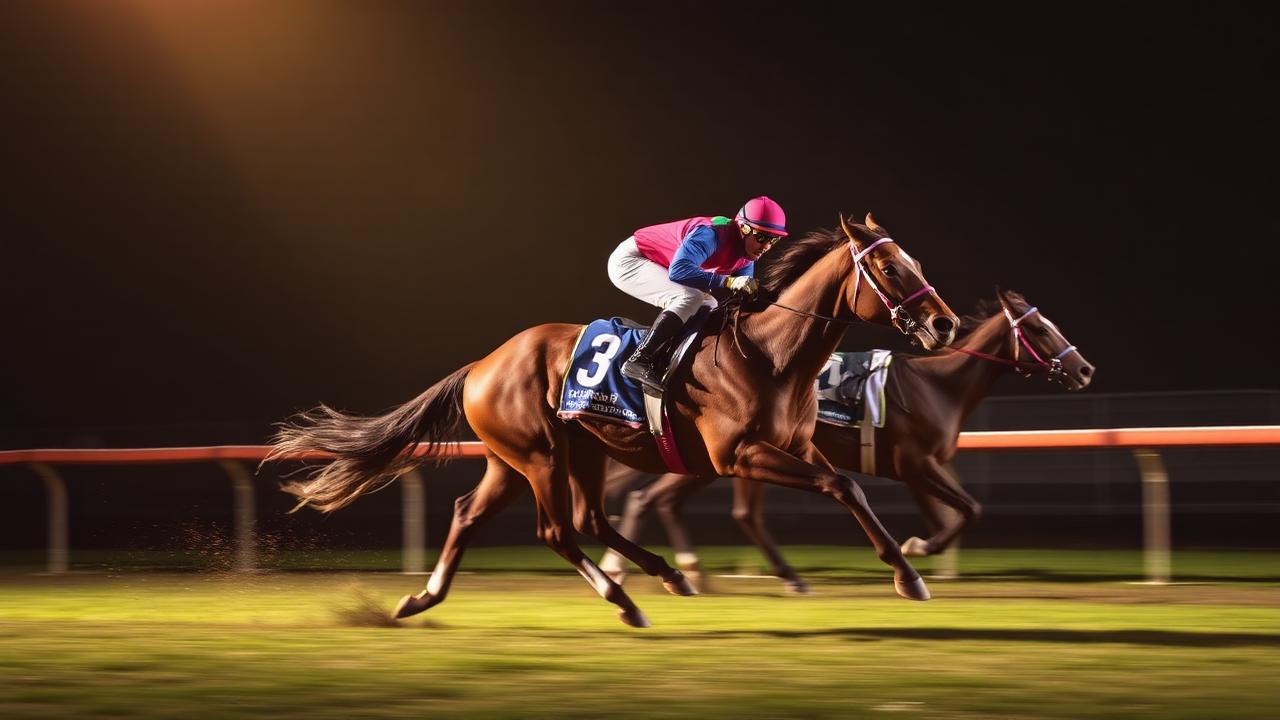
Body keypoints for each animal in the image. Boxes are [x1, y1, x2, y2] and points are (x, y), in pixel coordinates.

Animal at [268, 213, 959, 627]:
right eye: (890, 268)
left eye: (917, 263)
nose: (945, 324)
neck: (771, 353)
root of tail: (484, 362)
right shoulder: (739, 455)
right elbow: (841, 484)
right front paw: (910, 574)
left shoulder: (797, 447)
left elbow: (850, 489)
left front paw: (909, 573)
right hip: (539, 454)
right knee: (557, 530)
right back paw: (623, 597)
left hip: (554, 454)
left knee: (510, 515)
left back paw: (428, 596)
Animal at [599, 288, 1094, 594]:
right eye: (1040, 330)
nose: (1084, 369)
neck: (937, 385)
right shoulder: (916, 463)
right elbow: (969, 509)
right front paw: (917, 550)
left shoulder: (915, 468)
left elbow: (952, 515)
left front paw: (917, 553)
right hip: (723, 457)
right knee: (668, 500)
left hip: (718, 460)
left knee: (686, 504)